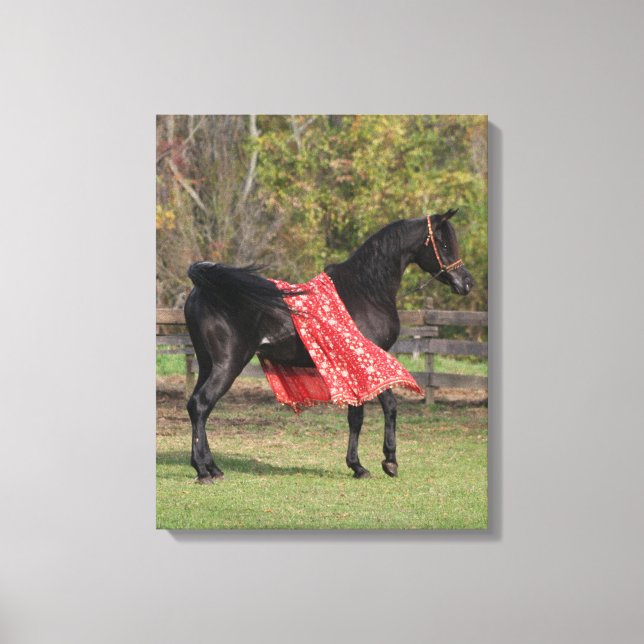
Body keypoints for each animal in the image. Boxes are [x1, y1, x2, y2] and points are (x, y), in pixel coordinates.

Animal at [184, 209, 474, 483]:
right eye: (443, 244)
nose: (467, 283)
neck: (366, 291)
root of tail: (203, 290)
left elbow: (358, 416)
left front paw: (360, 465)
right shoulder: (365, 364)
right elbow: (379, 409)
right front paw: (382, 463)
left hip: (207, 364)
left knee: (195, 406)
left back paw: (212, 468)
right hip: (228, 364)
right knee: (201, 404)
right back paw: (203, 472)